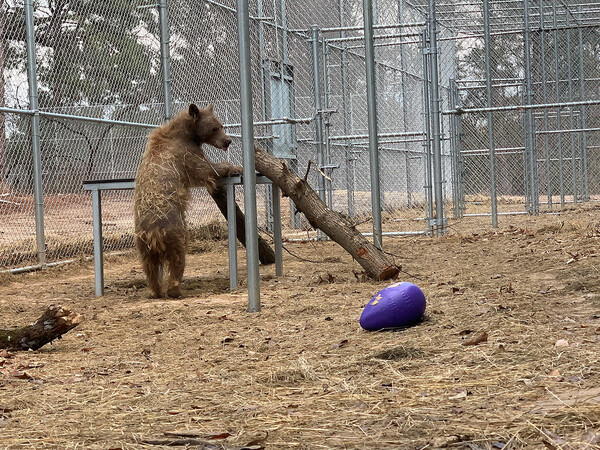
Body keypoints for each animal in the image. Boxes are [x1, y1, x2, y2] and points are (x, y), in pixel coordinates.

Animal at [134, 103, 241, 298]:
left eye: (221, 125)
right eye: (215, 128)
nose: (228, 141)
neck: (188, 133)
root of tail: (153, 232)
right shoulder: (185, 154)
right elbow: (206, 168)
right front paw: (235, 167)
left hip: (142, 243)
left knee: (149, 266)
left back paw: (154, 290)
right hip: (174, 230)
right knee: (178, 257)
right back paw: (175, 290)